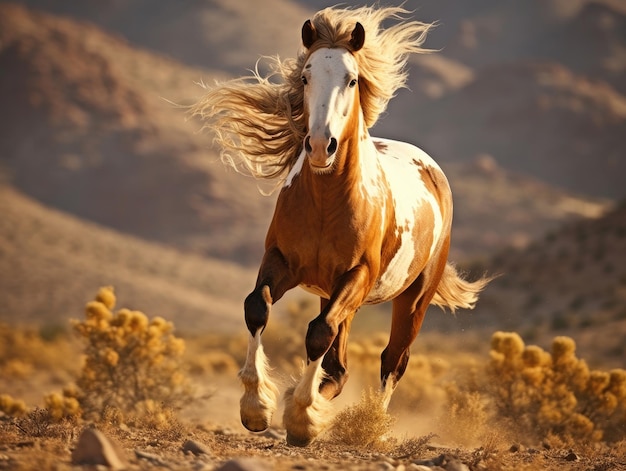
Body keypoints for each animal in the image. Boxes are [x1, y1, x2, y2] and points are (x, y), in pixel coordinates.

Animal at [188, 5, 490, 448]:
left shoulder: (358, 275)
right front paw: (257, 407)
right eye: (305, 76)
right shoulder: (280, 261)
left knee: (392, 359)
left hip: (412, 296)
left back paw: (368, 424)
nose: (318, 145)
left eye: (352, 79)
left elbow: (318, 333)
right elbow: (257, 307)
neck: (326, 203)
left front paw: (301, 417)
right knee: (340, 362)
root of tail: (432, 170)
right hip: (333, 291)